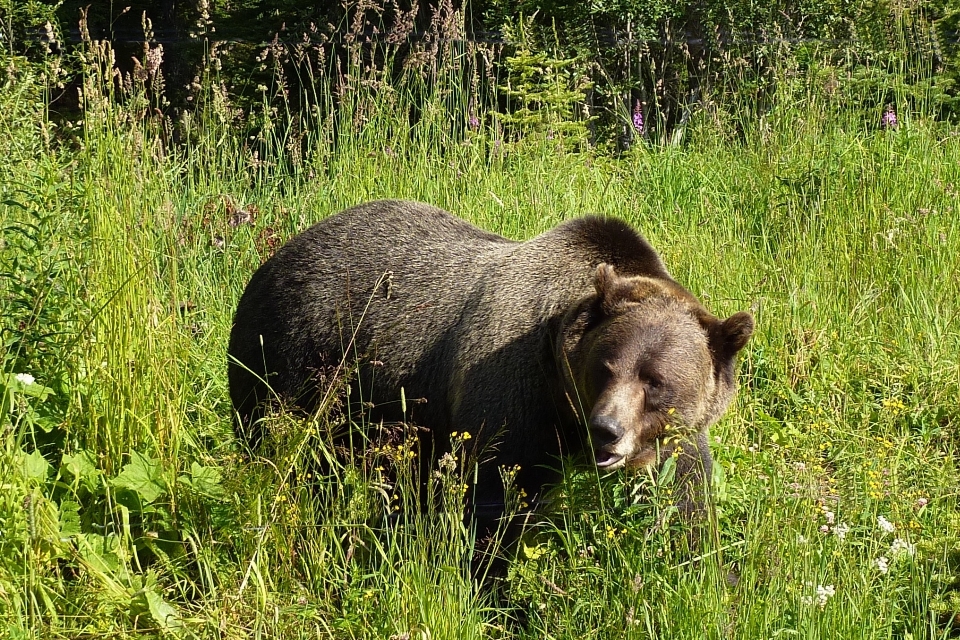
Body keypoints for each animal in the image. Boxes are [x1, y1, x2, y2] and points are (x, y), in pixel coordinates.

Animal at [229, 202, 752, 524]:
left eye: (655, 381)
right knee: (277, 442)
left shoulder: (674, 435)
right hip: (291, 356)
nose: (606, 429)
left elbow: (686, 497)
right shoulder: (513, 393)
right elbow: (495, 497)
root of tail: (279, 253)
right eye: (604, 367)